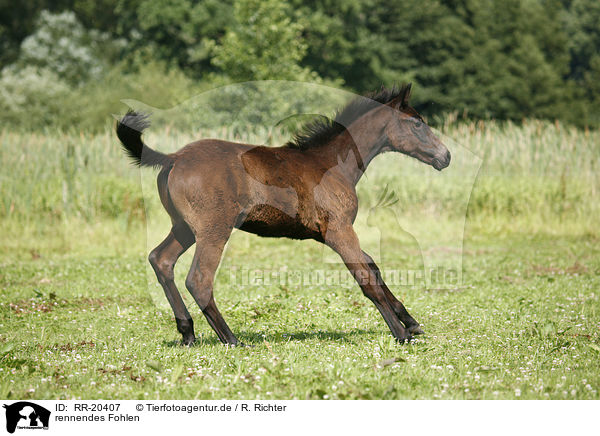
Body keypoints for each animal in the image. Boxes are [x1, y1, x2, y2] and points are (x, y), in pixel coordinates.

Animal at [116, 83, 450, 346]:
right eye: (417, 124)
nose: (445, 157)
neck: (331, 164)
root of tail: (173, 157)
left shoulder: (332, 233)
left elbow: (372, 266)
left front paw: (411, 322)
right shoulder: (339, 230)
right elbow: (365, 277)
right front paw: (401, 334)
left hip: (184, 227)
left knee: (161, 260)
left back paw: (188, 333)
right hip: (213, 229)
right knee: (199, 279)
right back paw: (232, 339)